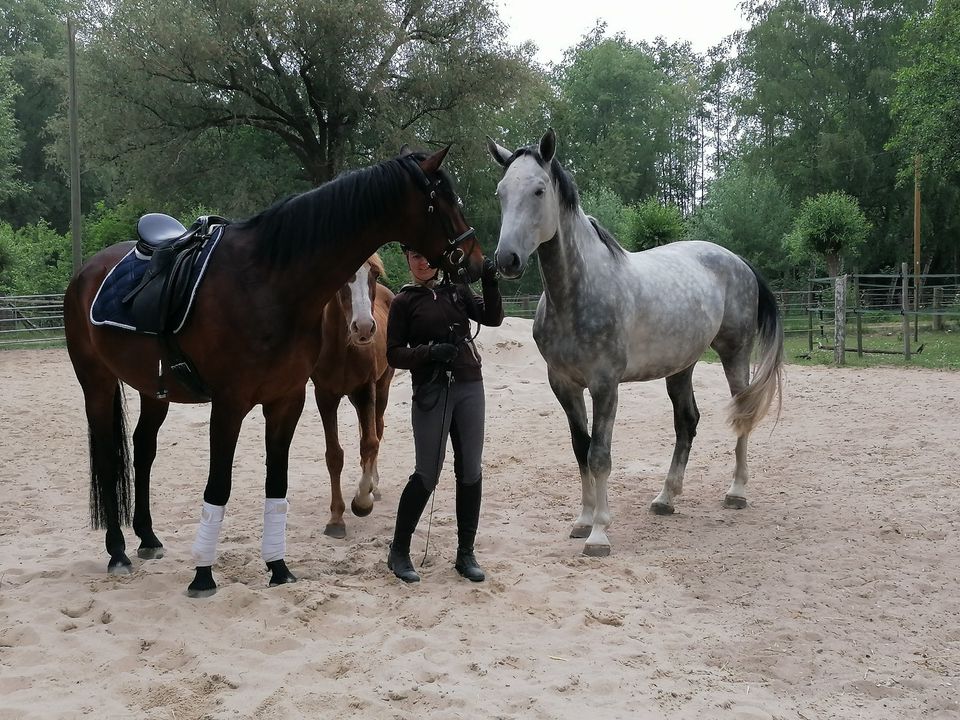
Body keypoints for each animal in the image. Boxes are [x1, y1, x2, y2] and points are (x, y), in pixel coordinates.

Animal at [312, 253, 394, 540]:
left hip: (382, 387)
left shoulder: (365, 390)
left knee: (377, 430)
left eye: (375, 274)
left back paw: (373, 488)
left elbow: (370, 442)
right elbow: (334, 455)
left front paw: (362, 502)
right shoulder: (325, 396)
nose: (365, 328)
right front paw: (336, 518)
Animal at [484, 128, 784, 556]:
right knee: (686, 423)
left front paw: (599, 534)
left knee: (741, 413)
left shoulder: (605, 385)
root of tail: (737, 260)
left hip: (735, 353)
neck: (577, 293)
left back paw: (737, 492)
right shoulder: (564, 385)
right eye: (501, 192)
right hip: (681, 367)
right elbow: (581, 448)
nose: (506, 259)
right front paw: (583, 521)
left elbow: (600, 455)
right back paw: (665, 498)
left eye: (539, 190)